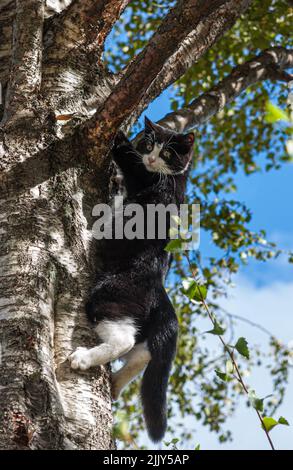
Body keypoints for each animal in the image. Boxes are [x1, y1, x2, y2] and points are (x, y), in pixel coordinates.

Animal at [69, 116, 194, 440]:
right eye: (149, 143)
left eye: (167, 153)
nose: (151, 157)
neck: (174, 179)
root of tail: (159, 291)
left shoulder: (145, 178)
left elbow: (125, 154)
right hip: (140, 318)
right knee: (143, 351)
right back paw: (114, 385)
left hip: (112, 295)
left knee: (123, 340)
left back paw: (82, 359)